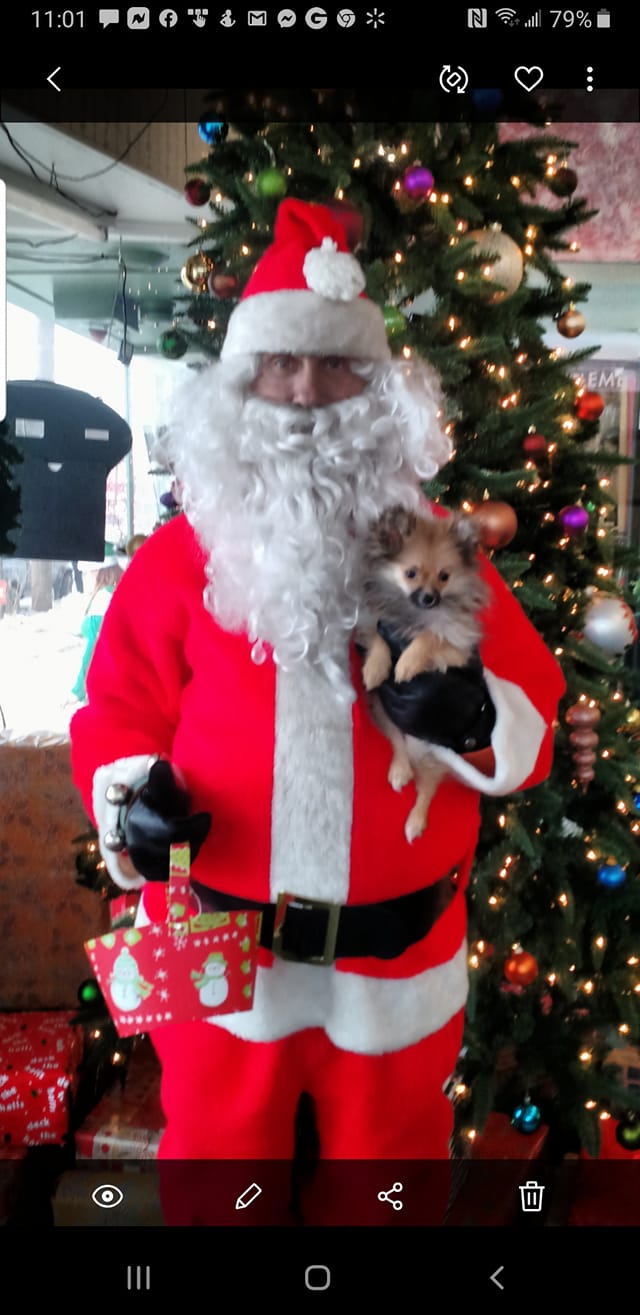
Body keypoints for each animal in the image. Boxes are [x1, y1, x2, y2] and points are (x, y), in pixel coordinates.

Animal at [359, 505, 488, 842]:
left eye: (445, 577)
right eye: (411, 573)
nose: (430, 597)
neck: (414, 615)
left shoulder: (458, 646)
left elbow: (432, 636)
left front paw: (407, 662)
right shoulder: (376, 621)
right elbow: (377, 636)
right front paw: (376, 668)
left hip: (429, 748)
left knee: (428, 788)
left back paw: (416, 820)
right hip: (383, 712)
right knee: (397, 741)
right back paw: (400, 769)